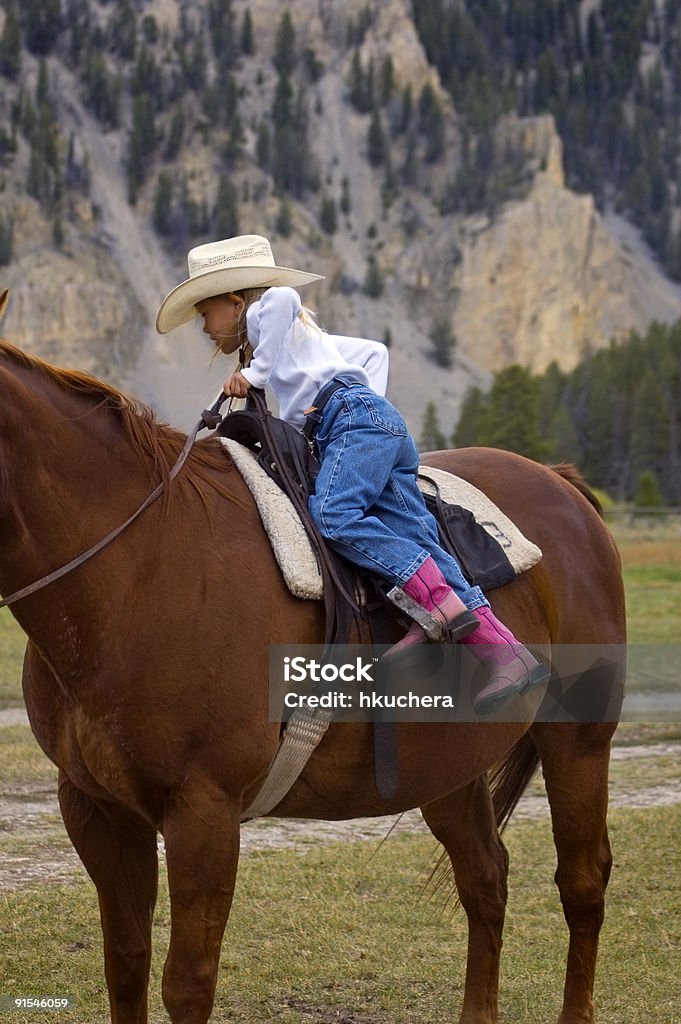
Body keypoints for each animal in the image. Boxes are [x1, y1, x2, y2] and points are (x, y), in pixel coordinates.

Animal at [0, 339, 622, 1024]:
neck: (138, 567)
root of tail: (559, 483)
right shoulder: (95, 809)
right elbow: (125, 964)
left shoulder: (203, 812)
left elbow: (186, 982)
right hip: (449, 769)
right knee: (486, 879)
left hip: (578, 741)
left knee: (583, 881)